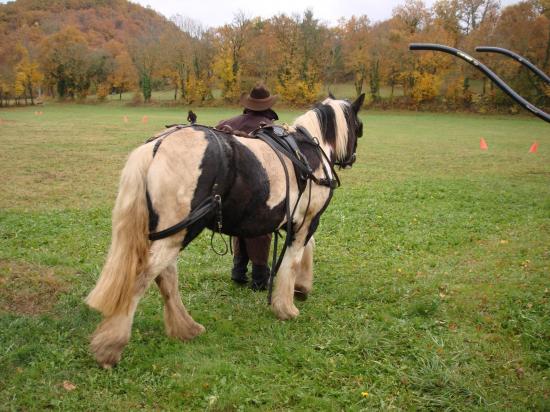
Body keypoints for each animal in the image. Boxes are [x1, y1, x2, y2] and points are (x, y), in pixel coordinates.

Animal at [86, 93, 366, 366]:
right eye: (359, 127)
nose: (352, 158)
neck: (308, 154)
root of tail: (157, 145)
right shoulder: (307, 220)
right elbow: (294, 260)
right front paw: (288, 305)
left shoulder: (297, 221)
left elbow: (307, 249)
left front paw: (301, 288)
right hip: (181, 230)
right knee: (143, 277)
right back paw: (111, 346)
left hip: (172, 232)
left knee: (165, 276)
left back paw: (184, 328)